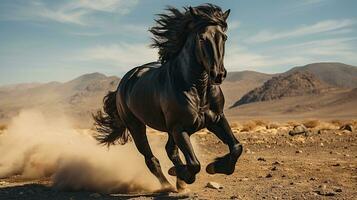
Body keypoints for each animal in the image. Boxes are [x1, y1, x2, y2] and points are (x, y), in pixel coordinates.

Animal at [93, 3, 242, 192]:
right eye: (202, 38)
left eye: (224, 37)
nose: (218, 75)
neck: (197, 88)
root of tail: (124, 83)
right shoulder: (179, 128)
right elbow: (194, 164)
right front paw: (184, 173)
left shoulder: (216, 119)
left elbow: (236, 147)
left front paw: (214, 167)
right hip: (137, 126)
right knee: (152, 160)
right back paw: (168, 185)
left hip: (171, 130)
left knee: (169, 150)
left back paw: (178, 181)